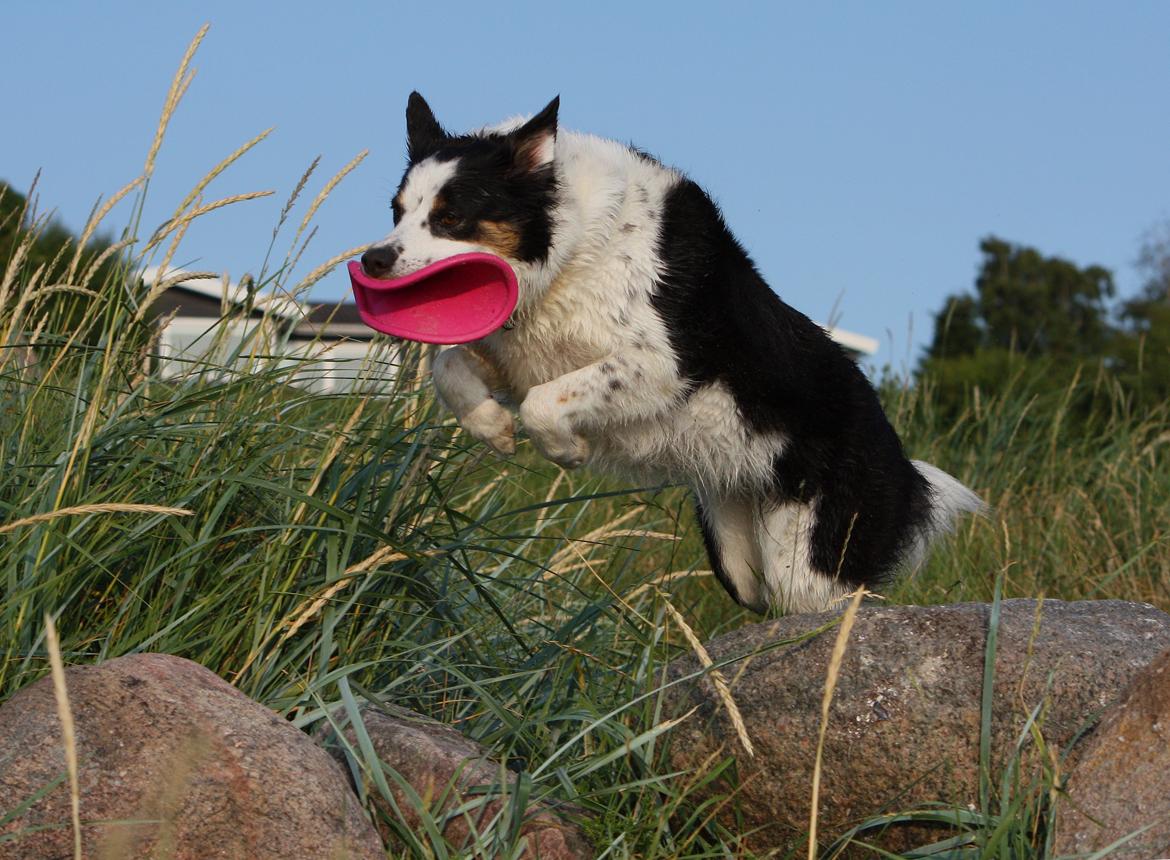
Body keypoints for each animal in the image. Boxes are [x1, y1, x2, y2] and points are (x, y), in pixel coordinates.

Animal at [360, 94, 982, 617]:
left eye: (449, 217)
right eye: (395, 211)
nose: (372, 260)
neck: (570, 249)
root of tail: (907, 468)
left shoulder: (659, 364)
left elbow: (543, 402)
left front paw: (565, 449)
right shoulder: (516, 350)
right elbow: (450, 367)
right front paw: (492, 429)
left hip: (808, 560)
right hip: (736, 550)